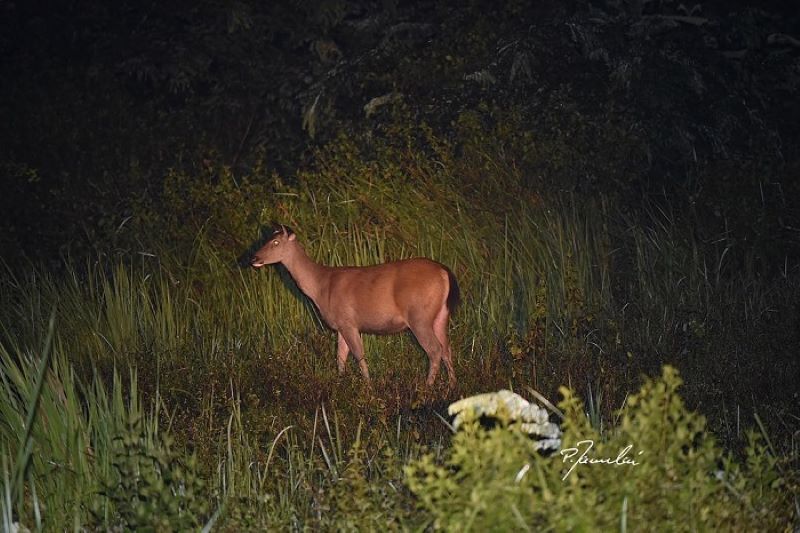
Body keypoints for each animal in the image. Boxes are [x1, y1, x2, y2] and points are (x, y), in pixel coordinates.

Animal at [250, 224, 462, 386]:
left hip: (419, 316)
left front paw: (368, 387)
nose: (254, 258)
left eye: (276, 242)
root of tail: (444, 273)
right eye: (265, 240)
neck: (321, 286)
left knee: (435, 349)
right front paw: (341, 383)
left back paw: (427, 387)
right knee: (447, 348)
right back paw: (452, 386)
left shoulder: (348, 322)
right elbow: (340, 357)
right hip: (441, 315)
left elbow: (358, 355)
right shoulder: (340, 326)